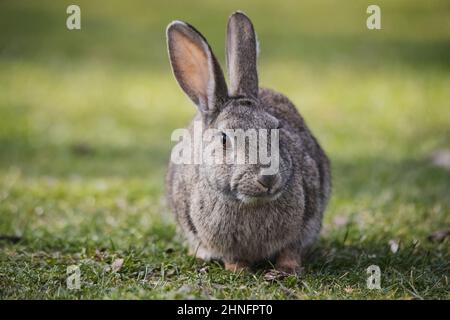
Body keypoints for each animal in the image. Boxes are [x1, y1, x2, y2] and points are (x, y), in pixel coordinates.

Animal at [165, 11, 330, 274]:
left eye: (276, 128)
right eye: (224, 138)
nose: (268, 178)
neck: (251, 202)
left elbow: (290, 250)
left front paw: (287, 269)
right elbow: (232, 257)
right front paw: (239, 270)